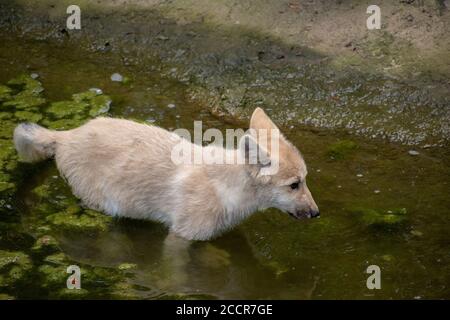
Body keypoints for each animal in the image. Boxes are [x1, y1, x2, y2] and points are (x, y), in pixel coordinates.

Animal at [13, 107, 316, 240]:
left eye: (304, 180)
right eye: (294, 185)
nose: (316, 213)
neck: (225, 189)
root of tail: (66, 136)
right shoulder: (181, 238)